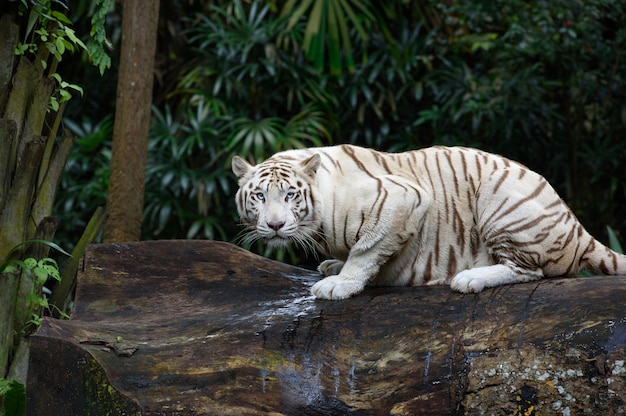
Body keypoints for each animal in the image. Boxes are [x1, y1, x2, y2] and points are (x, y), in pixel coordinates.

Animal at [230, 144, 624, 300]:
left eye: (290, 196)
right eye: (260, 196)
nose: (275, 226)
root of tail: (577, 229)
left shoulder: (404, 198)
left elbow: (366, 249)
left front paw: (341, 284)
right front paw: (334, 266)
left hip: (499, 195)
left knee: (532, 270)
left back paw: (470, 278)